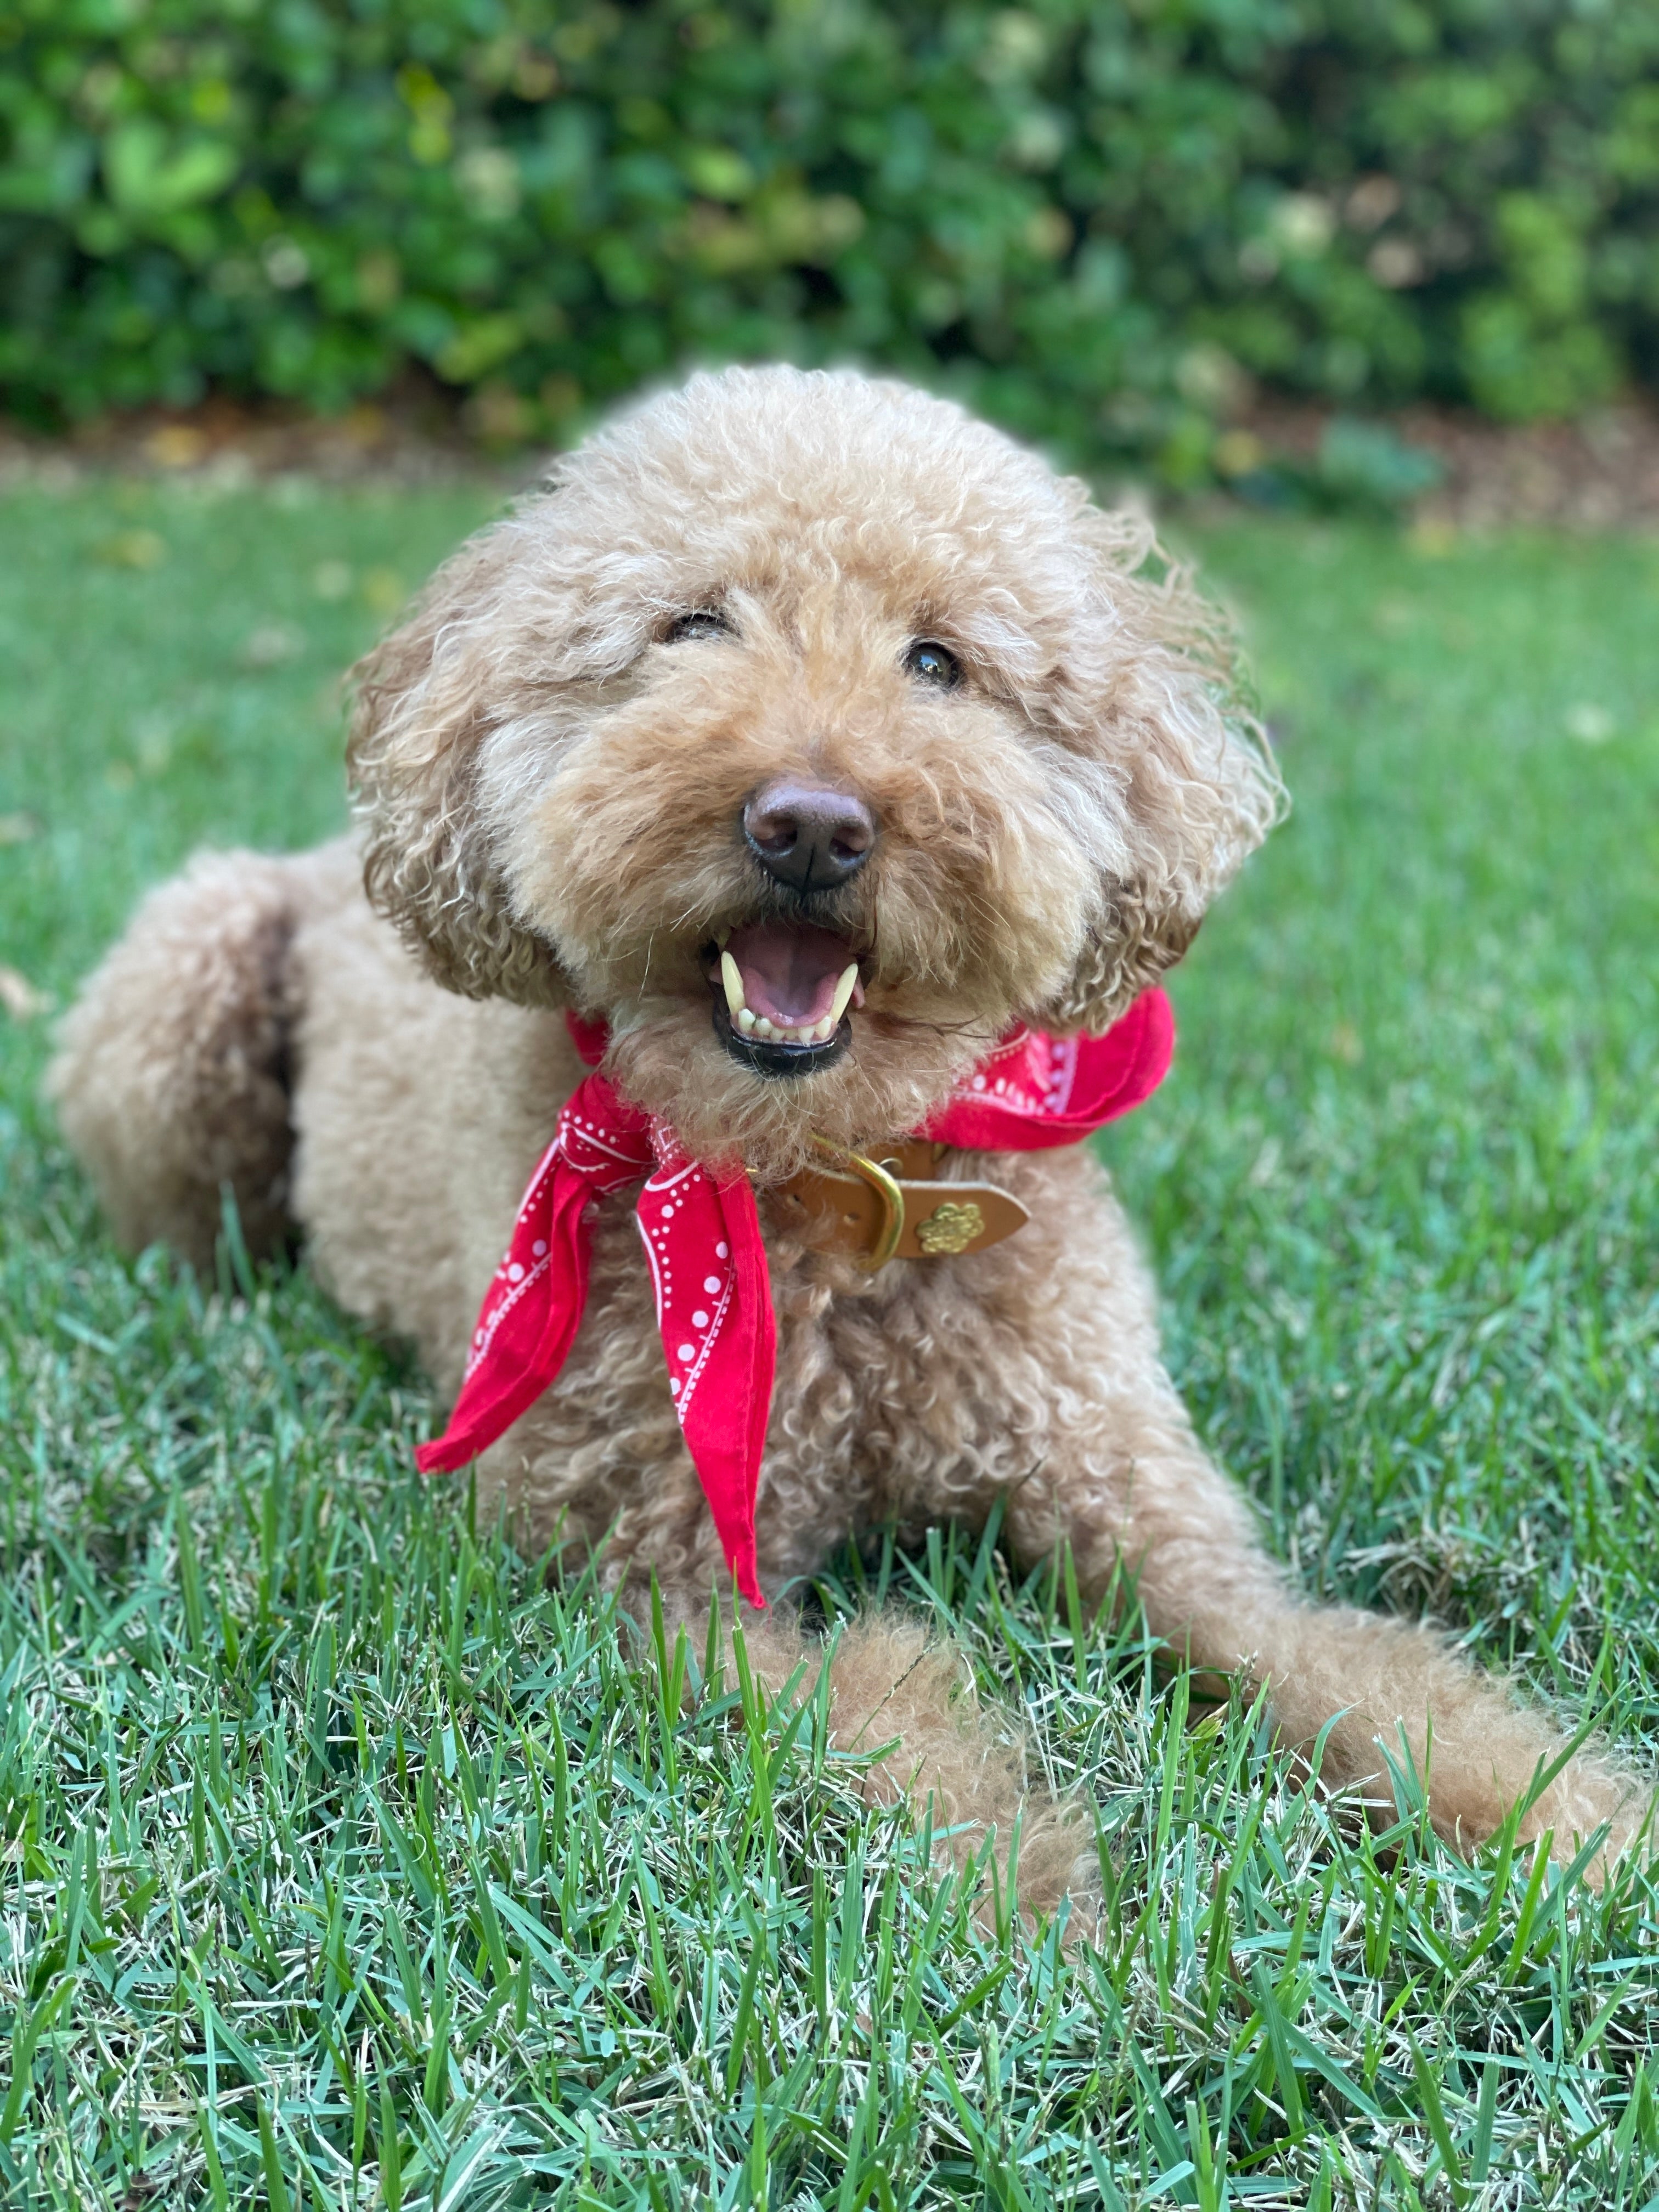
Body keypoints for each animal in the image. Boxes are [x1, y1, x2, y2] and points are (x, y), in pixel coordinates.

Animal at [52, 367, 1654, 1920]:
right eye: (694, 627)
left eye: (937, 662)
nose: (810, 825)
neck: (835, 1187)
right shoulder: (663, 1575)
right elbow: (897, 1721)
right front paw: (1039, 1898)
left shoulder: (1151, 1519)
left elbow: (1355, 1668)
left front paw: (1564, 1825)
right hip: (186, 973)